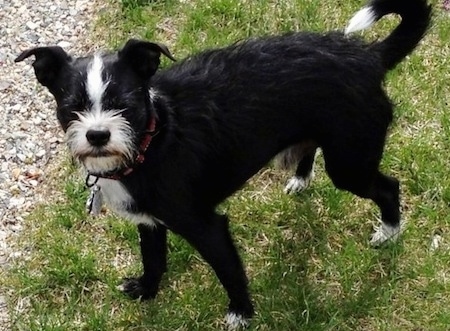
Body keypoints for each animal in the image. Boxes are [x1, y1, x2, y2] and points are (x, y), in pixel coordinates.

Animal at [15, 0, 432, 328]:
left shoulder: (207, 226)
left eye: (126, 104)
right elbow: (154, 258)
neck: (153, 140)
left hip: (350, 165)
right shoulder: (149, 221)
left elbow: (229, 271)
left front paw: (241, 314)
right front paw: (147, 290)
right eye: (71, 107)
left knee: (388, 187)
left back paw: (389, 232)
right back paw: (301, 179)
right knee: (310, 149)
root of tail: (369, 57)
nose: (98, 135)